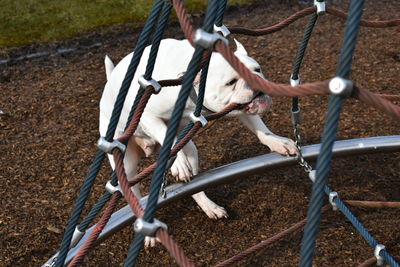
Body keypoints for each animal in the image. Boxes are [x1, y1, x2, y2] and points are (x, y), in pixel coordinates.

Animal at [99, 38, 298, 247]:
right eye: (231, 82)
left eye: (257, 69)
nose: (254, 80)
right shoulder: (147, 115)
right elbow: (164, 132)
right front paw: (178, 163)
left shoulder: (239, 108)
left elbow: (261, 129)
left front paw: (277, 142)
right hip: (127, 166)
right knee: (134, 196)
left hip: (191, 151)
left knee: (194, 185)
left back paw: (209, 206)